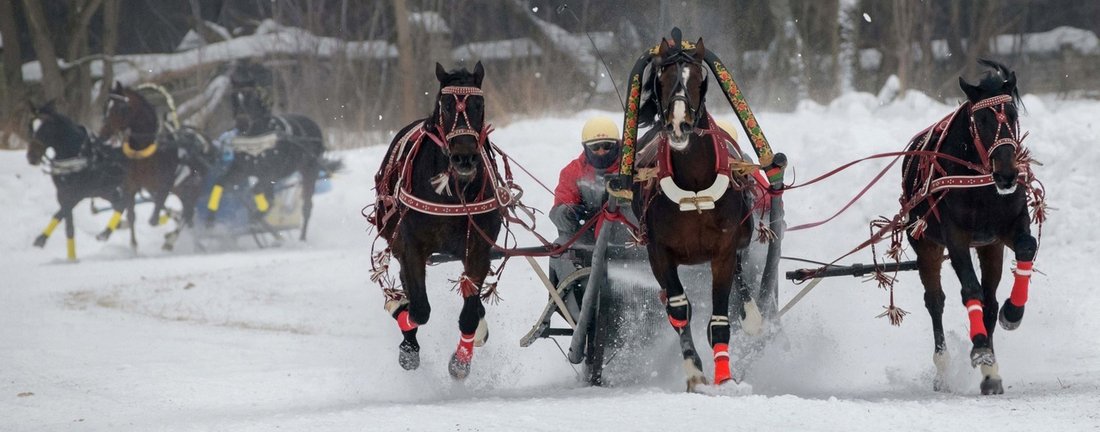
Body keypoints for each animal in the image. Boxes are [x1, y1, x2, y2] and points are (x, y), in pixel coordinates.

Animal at [26, 101, 128, 259]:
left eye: (46, 128)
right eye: (31, 125)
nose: (32, 157)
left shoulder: (77, 194)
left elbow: (60, 213)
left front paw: (41, 239)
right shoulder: (62, 193)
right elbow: (68, 225)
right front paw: (71, 258)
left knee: (123, 203)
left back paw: (106, 233)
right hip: (107, 191)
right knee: (121, 203)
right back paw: (111, 230)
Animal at [201, 62, 330, 240]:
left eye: (251, 96)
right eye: (233, 97)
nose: (241, 123)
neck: (256, 138)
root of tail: (314, 126)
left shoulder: (269, 174)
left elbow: (260, 193)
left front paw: (256, 217)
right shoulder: (241, 170)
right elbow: (220, 183)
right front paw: (210, 220)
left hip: (309, 171)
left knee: (307, 205)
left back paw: (302, 238)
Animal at [374, 62, 503, 378]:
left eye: (479, 104)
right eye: (445, 105)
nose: (464, 158)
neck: (452, 194)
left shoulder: (478, 248)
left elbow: (469, 312)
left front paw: (461, 361)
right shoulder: (410, 246)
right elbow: (419, 309)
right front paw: (401, 315)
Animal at [633, 35, 761, 389]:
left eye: (696, 79)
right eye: (662, 78)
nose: (679, 125)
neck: (694, 187)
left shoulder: (724, 249)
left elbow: (720, 317)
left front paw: (724, 377)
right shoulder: (659, 251)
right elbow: (679, 308)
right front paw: (694, 371)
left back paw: (751, 315)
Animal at [897, 59, 1034, 393]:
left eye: (1012, 115)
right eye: (981, 119)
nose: (1007, 174)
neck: (981, 183)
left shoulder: (1007, 227)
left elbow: (1027, 247)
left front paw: (1013, 312)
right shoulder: (955, 237)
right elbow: (969, 290)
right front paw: (981, 347)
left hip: (989, 247)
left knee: (990, 301)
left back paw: (991, 371)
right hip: (926, 245)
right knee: (935, 301)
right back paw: (944, 367)